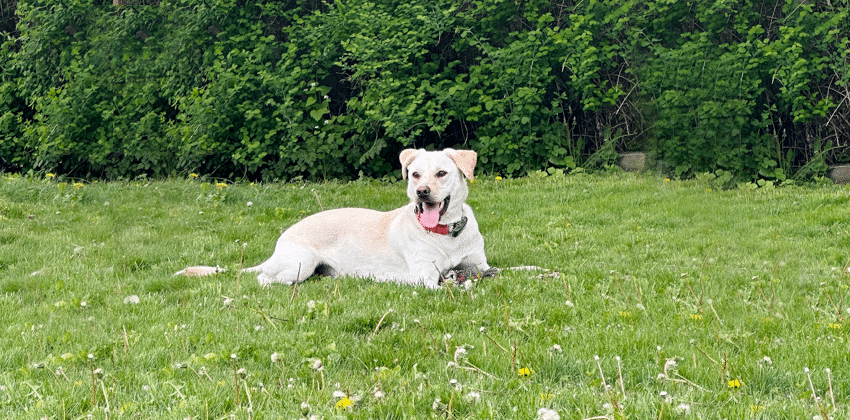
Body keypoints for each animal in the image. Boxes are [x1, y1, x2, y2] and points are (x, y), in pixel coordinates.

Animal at [237, 148, 490, 288]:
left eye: (441, 173)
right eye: (415, 174)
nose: (422, 192)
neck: (448, 233)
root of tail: (279, 243)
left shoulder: (481, 265)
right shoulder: (424, 277)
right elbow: (450, 287)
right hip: (302, 262)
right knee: (264, 278)